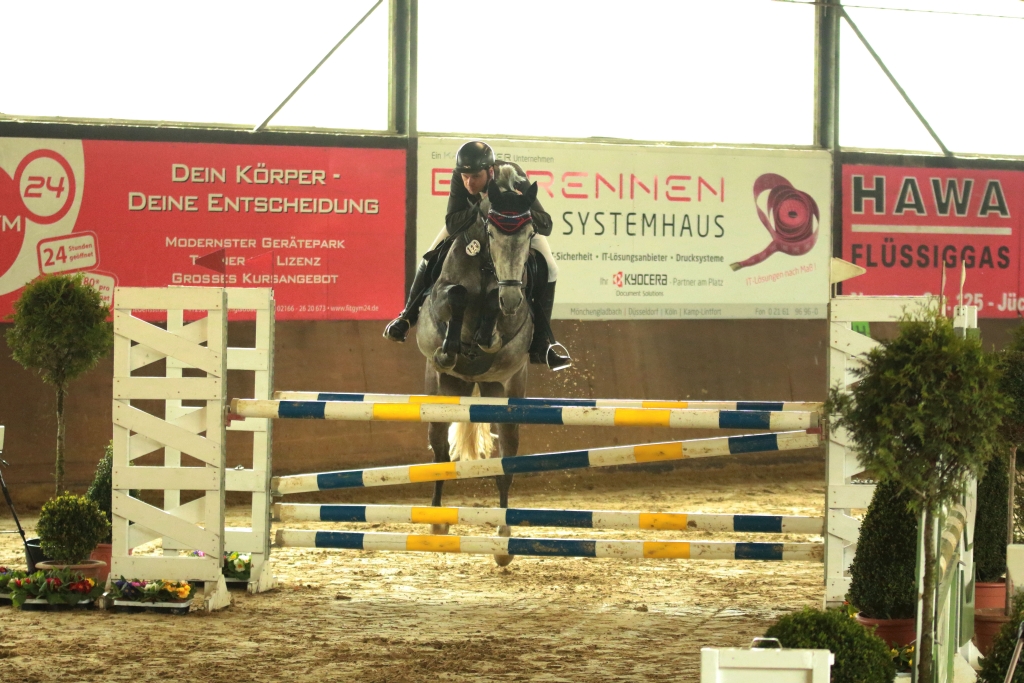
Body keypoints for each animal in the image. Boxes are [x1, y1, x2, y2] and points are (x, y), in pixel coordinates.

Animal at [415, 165, 538, 566]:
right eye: (492, 231)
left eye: (530, 233)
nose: (513, 298)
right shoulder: (443, 296)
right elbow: (455, 294)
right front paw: (451, 348)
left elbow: (490, 311)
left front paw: (486, 332)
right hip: (442, 391)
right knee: (439, 452)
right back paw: (438, 522)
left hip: (503, 393)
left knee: (506, 461)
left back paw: (503, 538)